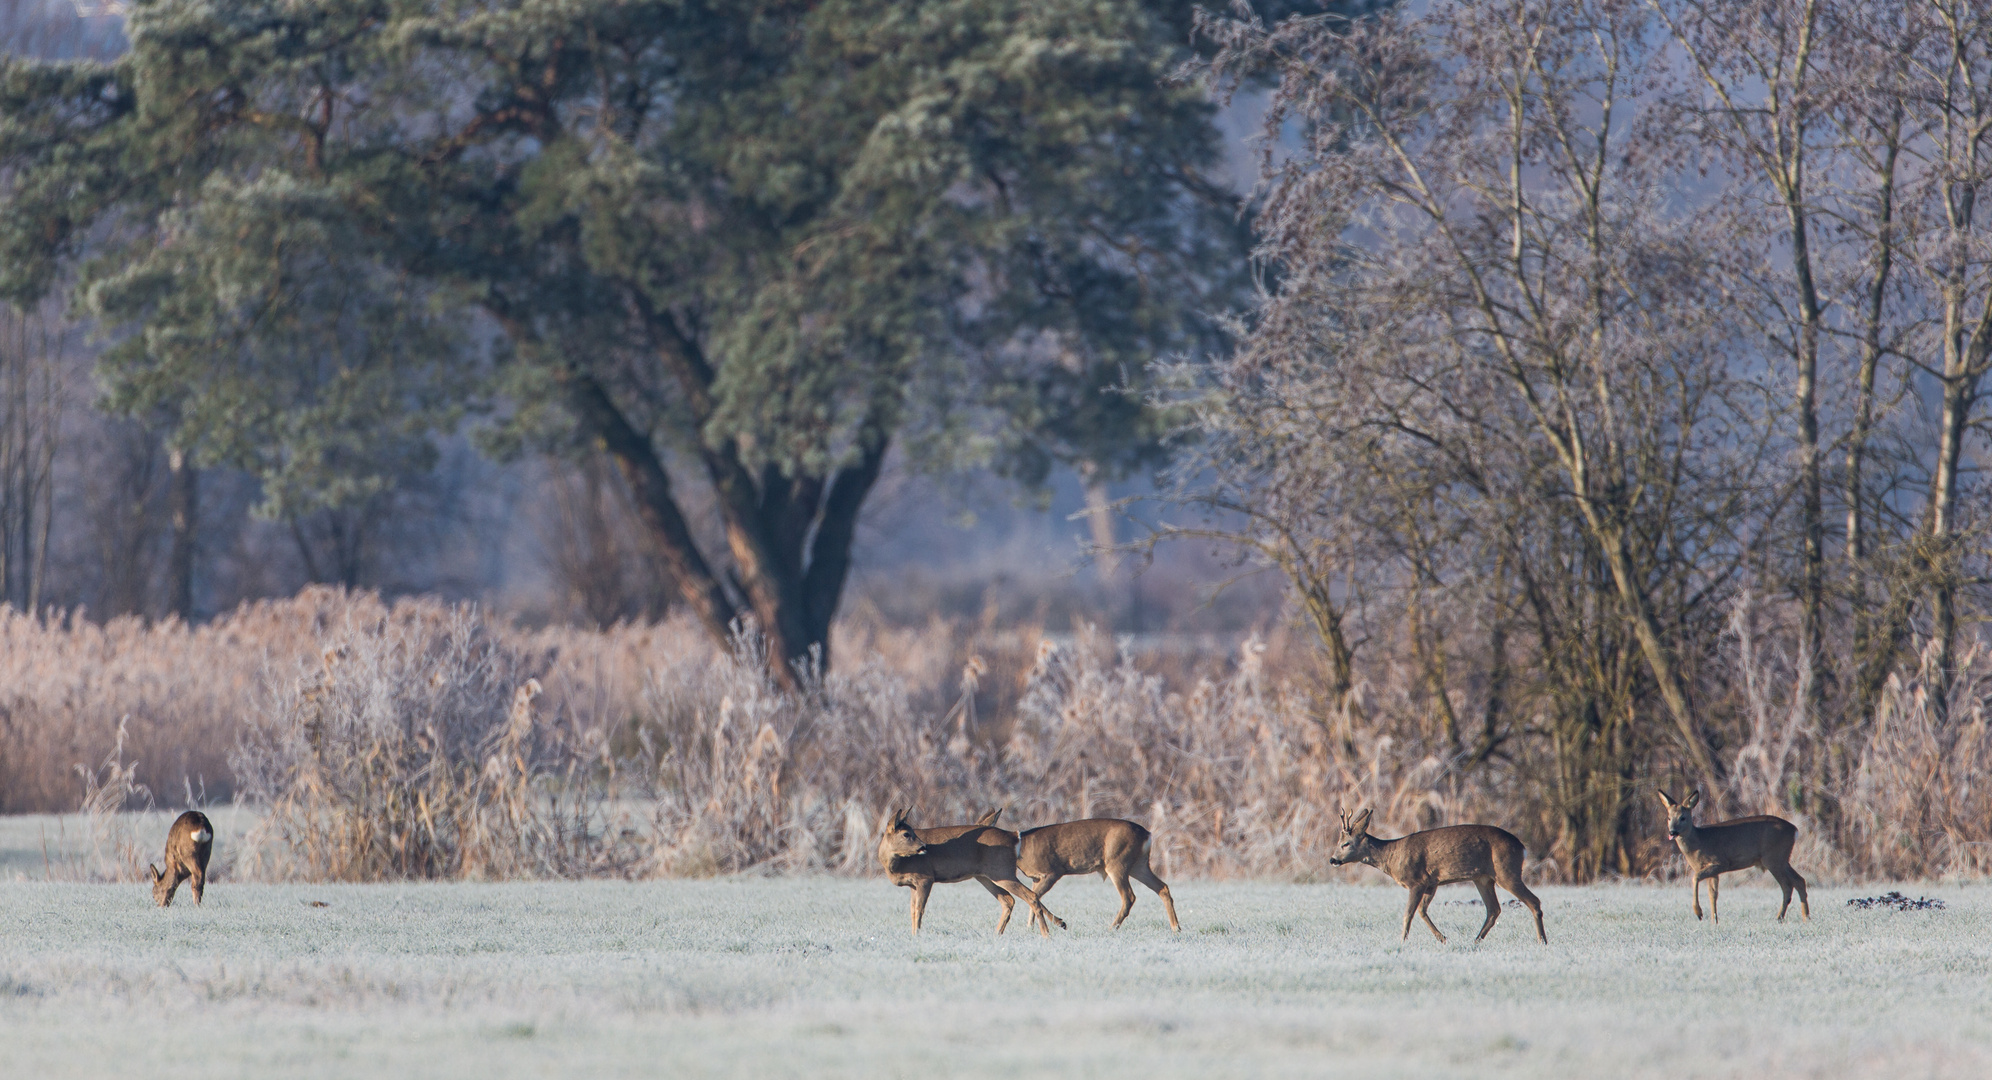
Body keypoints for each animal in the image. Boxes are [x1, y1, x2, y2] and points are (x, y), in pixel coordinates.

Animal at [872, 812, 1059, 940]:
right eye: (906, 833)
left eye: (912, 832)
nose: (923, 847)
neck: (895, 864)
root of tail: (1013, 836)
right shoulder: (913, 884)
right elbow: (912, 910)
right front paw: (913, 935)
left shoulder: (925, 878)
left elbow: (919, 909)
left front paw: (917, 936)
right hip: (986, 876)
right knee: (1008, 900)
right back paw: (997, 934)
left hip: (1002, 871)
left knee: (1031, 895)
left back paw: (1047, 935)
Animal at [1019, 816, 1171, 936]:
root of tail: (1147, 834)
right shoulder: (1036, 878)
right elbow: (1033, 896)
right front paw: (1030, 927)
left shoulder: (1053, 872)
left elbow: (1033, 896)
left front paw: (1059, 923)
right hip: (1139, 865)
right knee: (1162, 887)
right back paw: (1175, 929)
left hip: (1117, 863)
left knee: (1129, 897)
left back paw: (1111, 929)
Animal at [1330, 809, 1545, 944]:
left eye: (1345, 844)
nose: (1333, 859)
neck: (1393, 856)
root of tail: (1522, 847)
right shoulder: (1431, 883)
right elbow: (1422, 911)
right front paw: (1442, 938)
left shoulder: (1416, 881)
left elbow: (1408, 913)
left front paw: (1402, 941)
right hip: (1483, 878)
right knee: (1494, 909)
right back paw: (1475, 941)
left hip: (1506, 871)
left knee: (1534, 901)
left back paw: (1542, 941)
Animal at [1649, 793, 1808, 928]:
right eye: (1669, 818)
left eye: (1683, 817)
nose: (1672, 832)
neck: (1699, 841)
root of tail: (1795, 830)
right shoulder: (1713, 871)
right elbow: (1713, 894)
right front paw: (1714, 921)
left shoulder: (1720, 863)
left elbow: (1695, 878)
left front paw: (1699, 913)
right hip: (1782, 859)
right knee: (1799, 880)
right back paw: (1806, 917)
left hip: (1773, 858)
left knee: (1787, 886)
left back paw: (1780, 918)